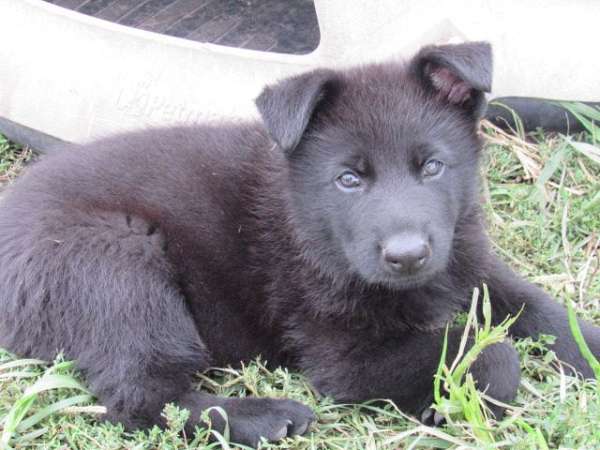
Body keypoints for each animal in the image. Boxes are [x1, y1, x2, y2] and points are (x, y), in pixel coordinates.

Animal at [1, 43, 600, 446]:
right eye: (348, 179)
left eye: (432, 167)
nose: (407, 256)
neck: (312, 225)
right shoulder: (343, 356)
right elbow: (493, 352)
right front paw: (451, 399)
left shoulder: (463, 255)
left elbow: (537, 306)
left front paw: (586, 343)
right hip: (117, 263)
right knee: (141, 400)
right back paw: (262, 416)